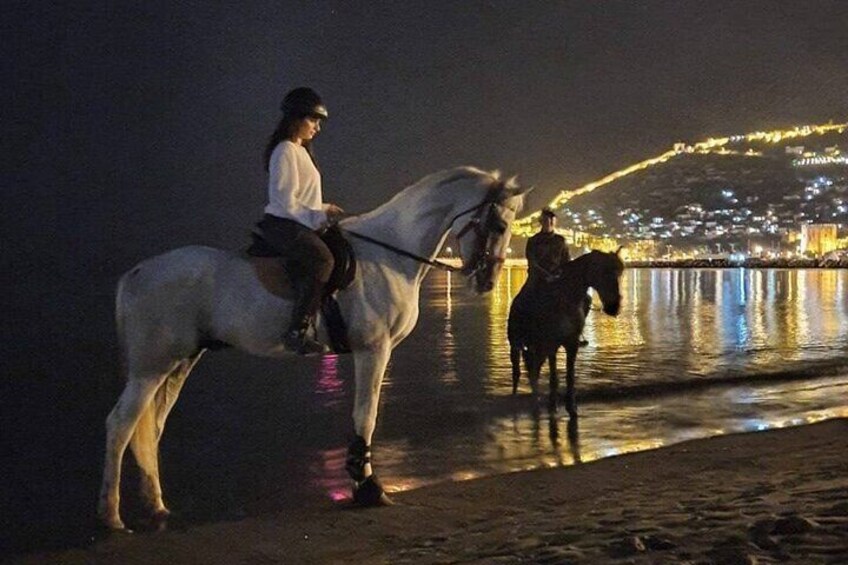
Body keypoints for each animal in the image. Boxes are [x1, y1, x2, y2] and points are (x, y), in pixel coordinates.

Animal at [97, 166, 524, 528]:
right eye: (499, 224)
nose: (487, 281)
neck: (388, 255)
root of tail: (136, 272)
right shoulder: (374, 350)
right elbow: (365, 417)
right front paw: (368, 488)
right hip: (151, 368)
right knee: (120, 425)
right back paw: (111, 516)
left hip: (179, 362)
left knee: (151, 427)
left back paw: (155, 506)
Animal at [506, 249, 628, 412]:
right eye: (603, 272)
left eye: (620, 274)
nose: (614, 307)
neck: (565, 300)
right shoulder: (551, 344)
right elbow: (554, 377)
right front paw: (552, 404)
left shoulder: (572, 344)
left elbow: (569, 376)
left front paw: (570, 404)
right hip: (517, 345)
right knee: (518, 372)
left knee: (534, 370)